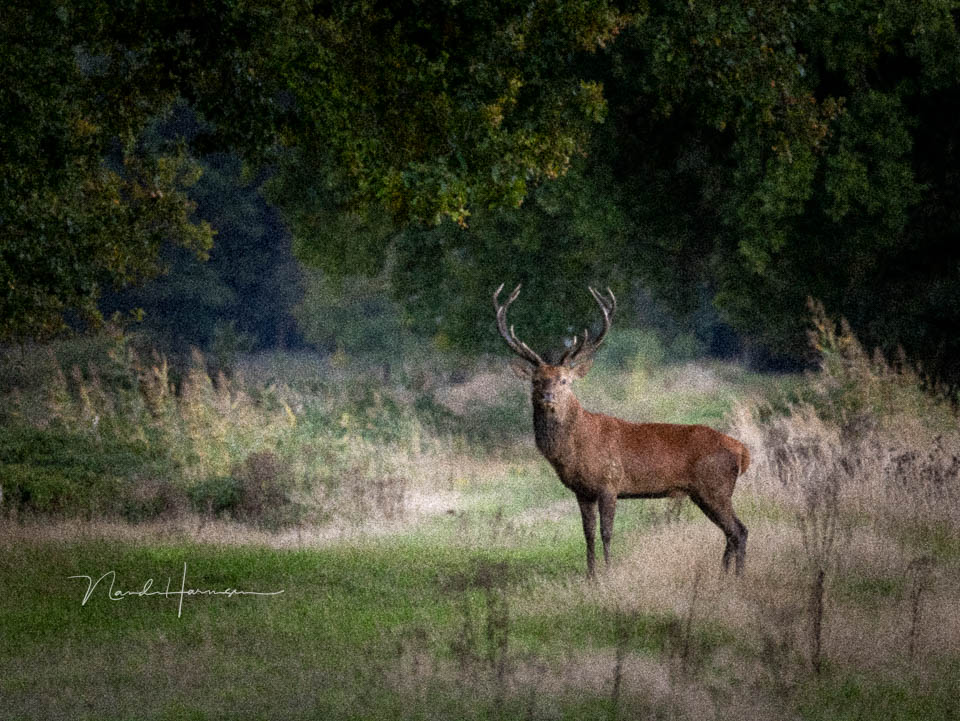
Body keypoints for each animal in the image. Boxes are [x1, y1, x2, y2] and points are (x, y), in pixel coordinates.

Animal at [496, 284, 752, 576]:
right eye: (536, 381)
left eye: (564, 380)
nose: (547, 396)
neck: (575, 448)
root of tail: (743, 451)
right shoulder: (583, 492)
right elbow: (588, 535)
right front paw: (591, 576)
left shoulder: (610, 482)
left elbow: (606, 533)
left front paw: (608, 573)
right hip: (704, 492)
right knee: (731, 533)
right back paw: (723, 576)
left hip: (715, 487)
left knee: (739, 531)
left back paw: (737, 577)